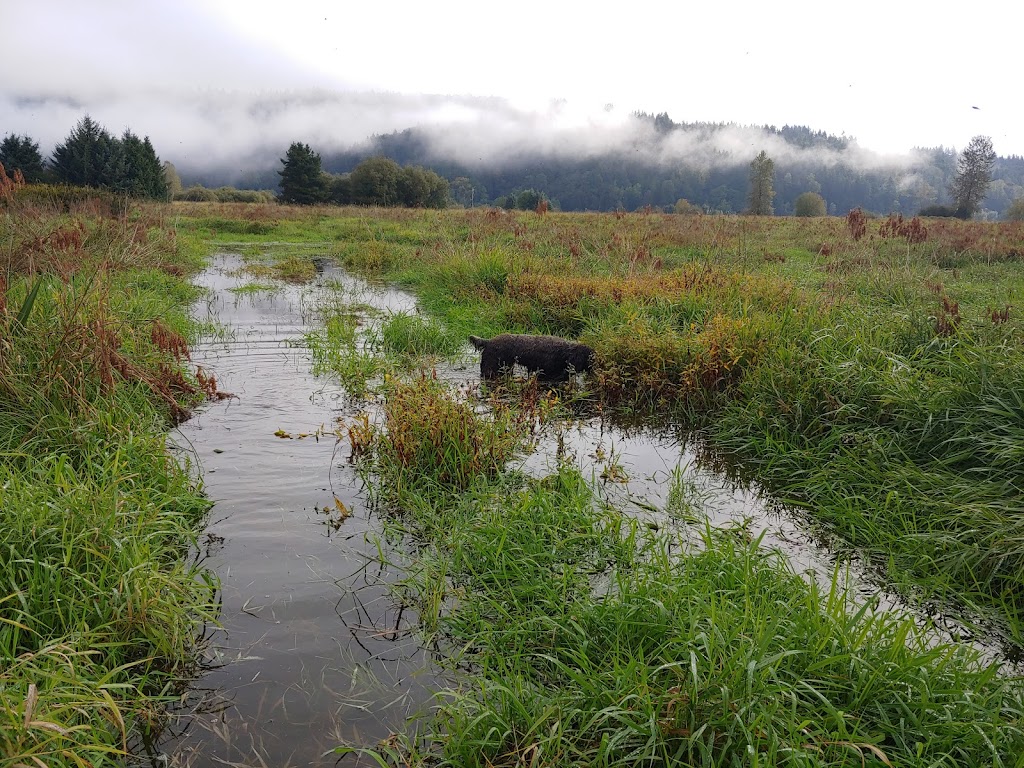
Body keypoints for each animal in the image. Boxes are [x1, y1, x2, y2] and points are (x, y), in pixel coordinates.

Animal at [468, 333, 598, 382]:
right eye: (589, 358)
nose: (594, 368)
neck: (563, 353)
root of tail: (489, 342)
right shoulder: (545, 374)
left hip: (506, 367)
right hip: (490, 368)